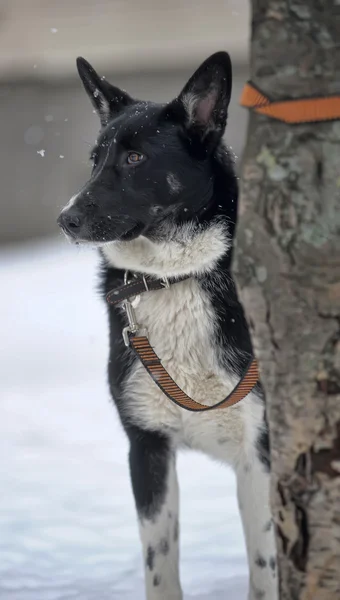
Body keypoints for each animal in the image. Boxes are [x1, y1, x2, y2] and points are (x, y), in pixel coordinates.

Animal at [57, 51, 276, 600]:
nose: (65, 220)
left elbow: (265, 567)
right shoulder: (147, 447)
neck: (172, 278)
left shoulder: (260, 453)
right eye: (95, 159)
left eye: (136, 159)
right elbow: (160, 564)